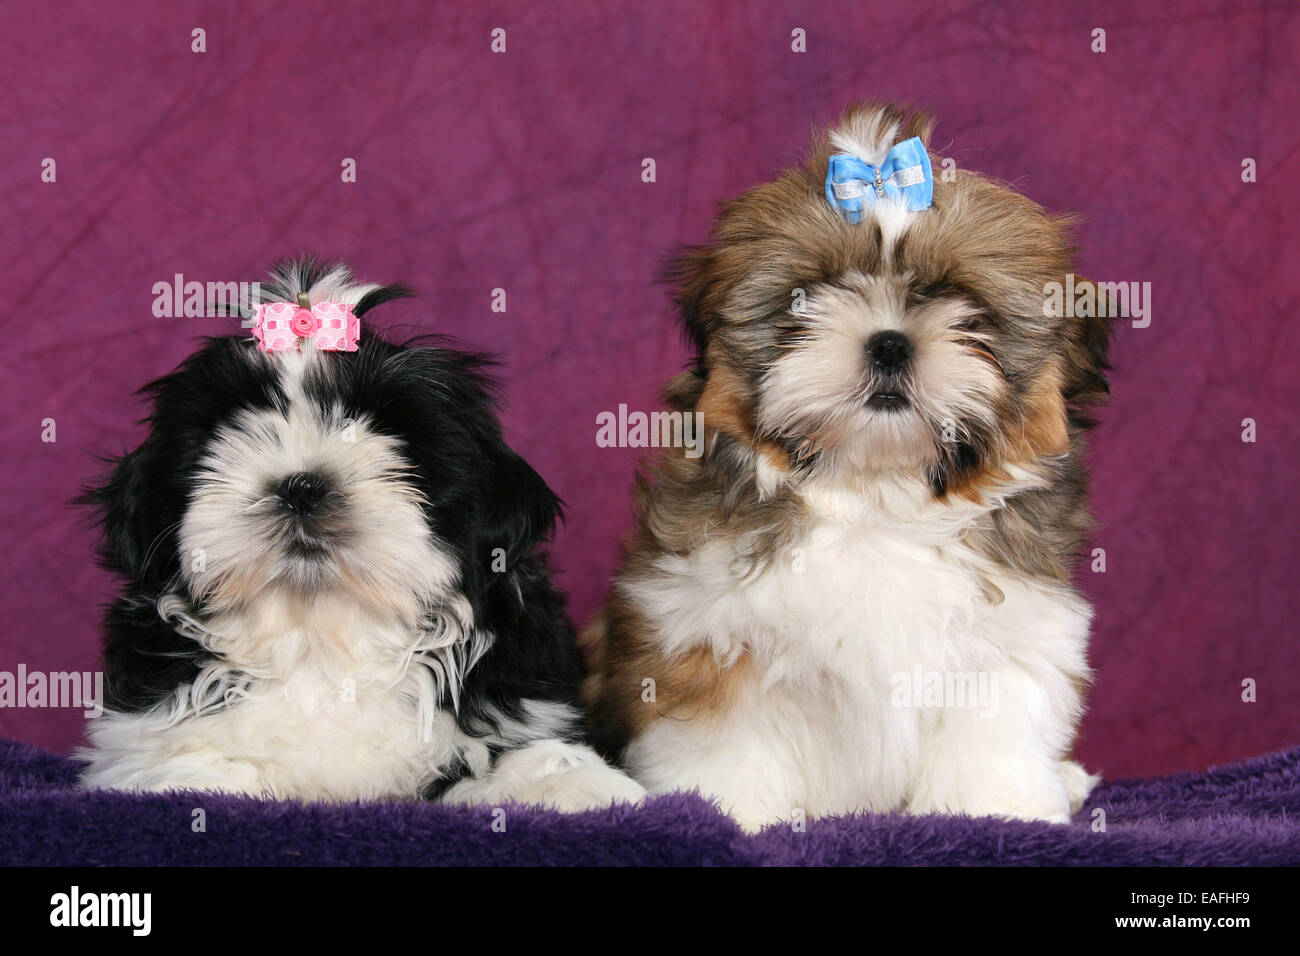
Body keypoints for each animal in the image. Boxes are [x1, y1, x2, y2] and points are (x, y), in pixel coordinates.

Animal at [77, 257, 644, 811]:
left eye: (388, 430)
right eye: (228, 432)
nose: (302, 487)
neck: (323, 642)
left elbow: (519, 752)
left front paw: (580, 784)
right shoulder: (145, 733)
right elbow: (189, 760)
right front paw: (198, 786)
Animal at [585, 98, 1112, 832]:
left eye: (969, 310)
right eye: (805, 301)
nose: (889, 343)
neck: (875, 499)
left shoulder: (1009, 642)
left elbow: (989, 734)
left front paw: (993, 810)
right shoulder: (709, 630)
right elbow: (730, 739)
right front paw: (729, 811)